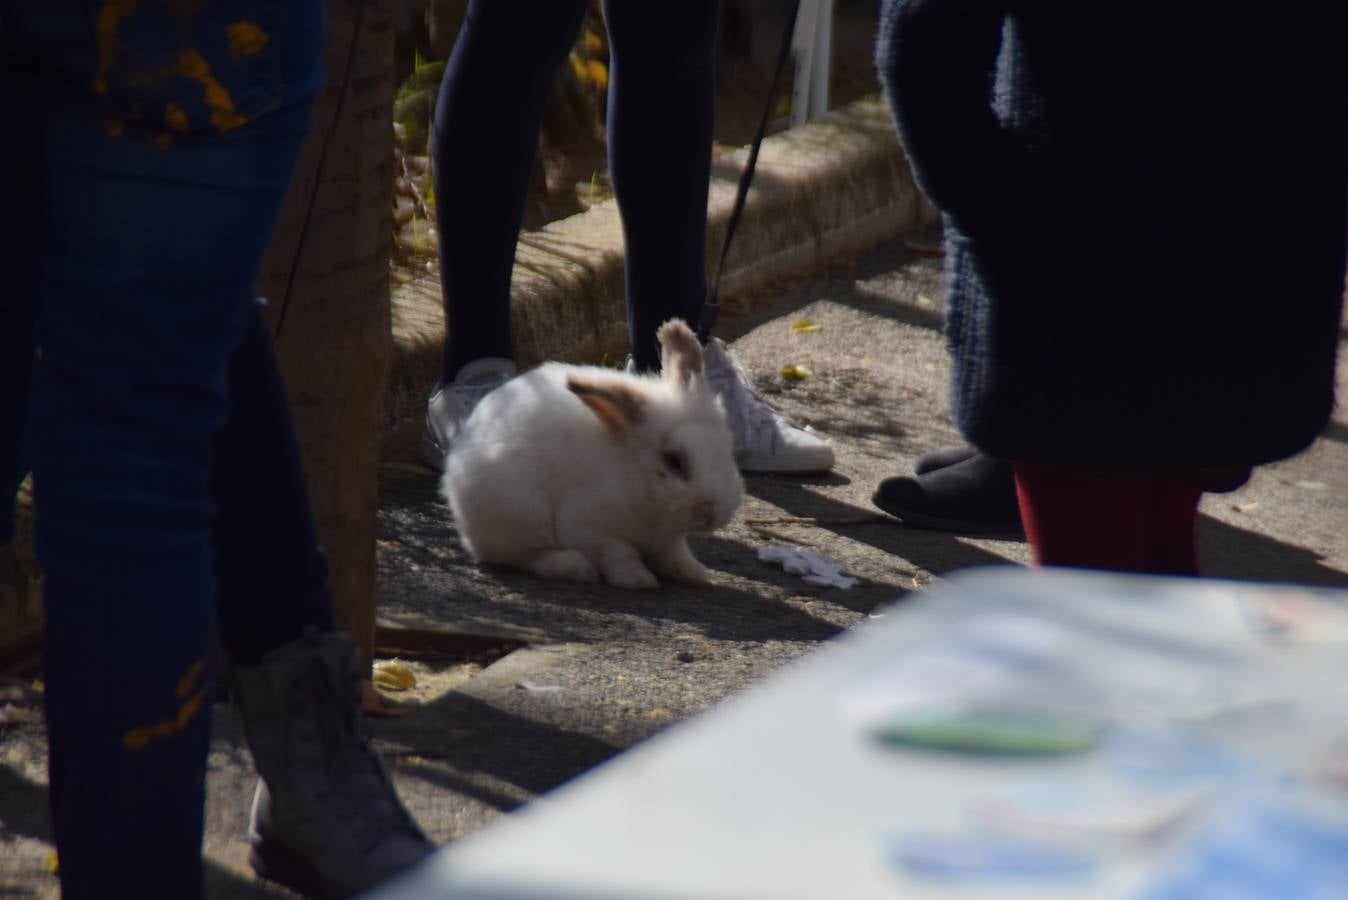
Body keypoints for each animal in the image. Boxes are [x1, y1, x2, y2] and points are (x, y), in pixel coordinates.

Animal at [442, 319, 744, 587]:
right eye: (674, 461)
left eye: (727, 451)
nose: (713, 513)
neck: (635, 479)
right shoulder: (588, 528)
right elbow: (619, 552)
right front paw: (637, 580)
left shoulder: (667, 540)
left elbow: (675, 554)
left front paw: (694, 574)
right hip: (522, 510)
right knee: (519, 555)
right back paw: (573, 568)